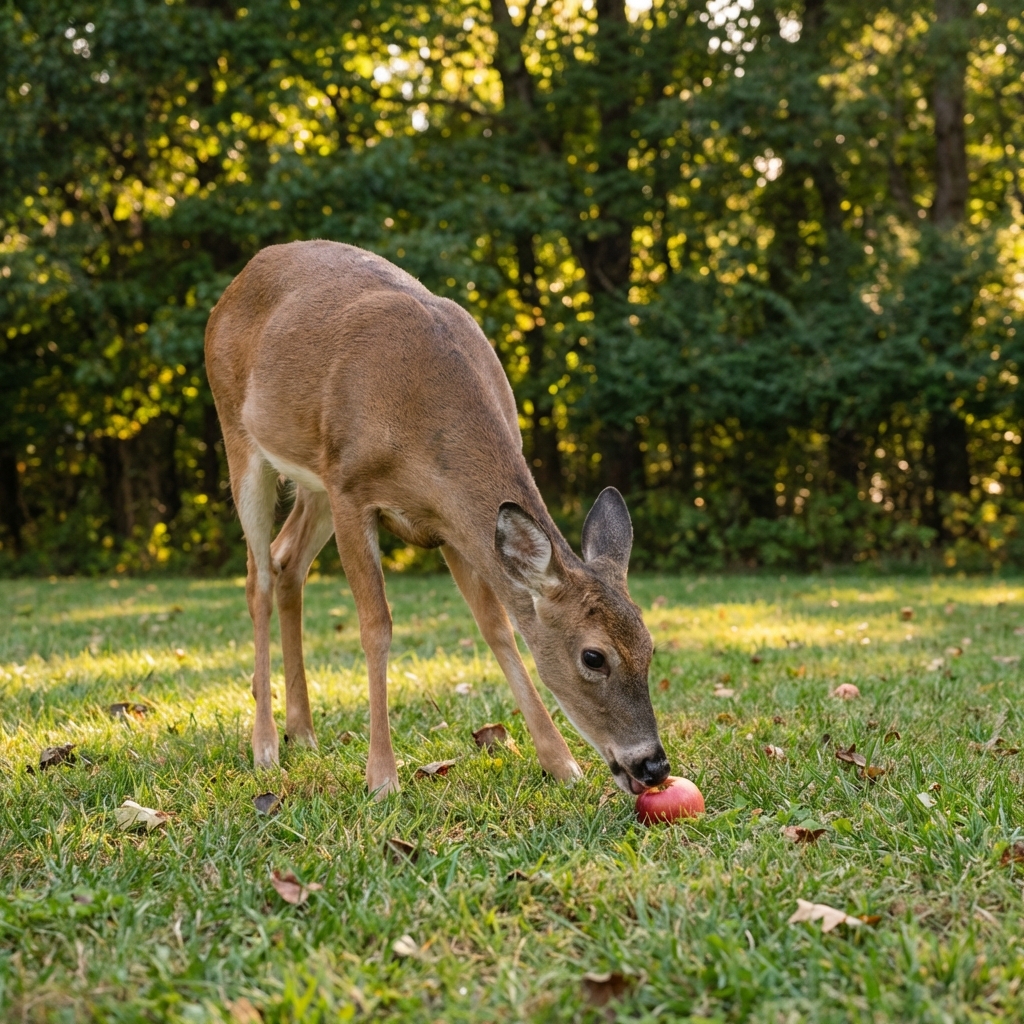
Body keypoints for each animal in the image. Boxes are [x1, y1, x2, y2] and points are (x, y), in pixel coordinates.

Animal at [204, 239, 670, 800]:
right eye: (594, 657)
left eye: (649, 646)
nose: (653, 765)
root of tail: (234, 285)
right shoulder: (351, 489)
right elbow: (376, 626)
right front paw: (382, 777)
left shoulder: (451, 525)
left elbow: (496, 628)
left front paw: (560, 763)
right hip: (242, 437)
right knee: (258, 577)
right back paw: (267, 746)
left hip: (314, 481)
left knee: (286, 561)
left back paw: (304, 732)